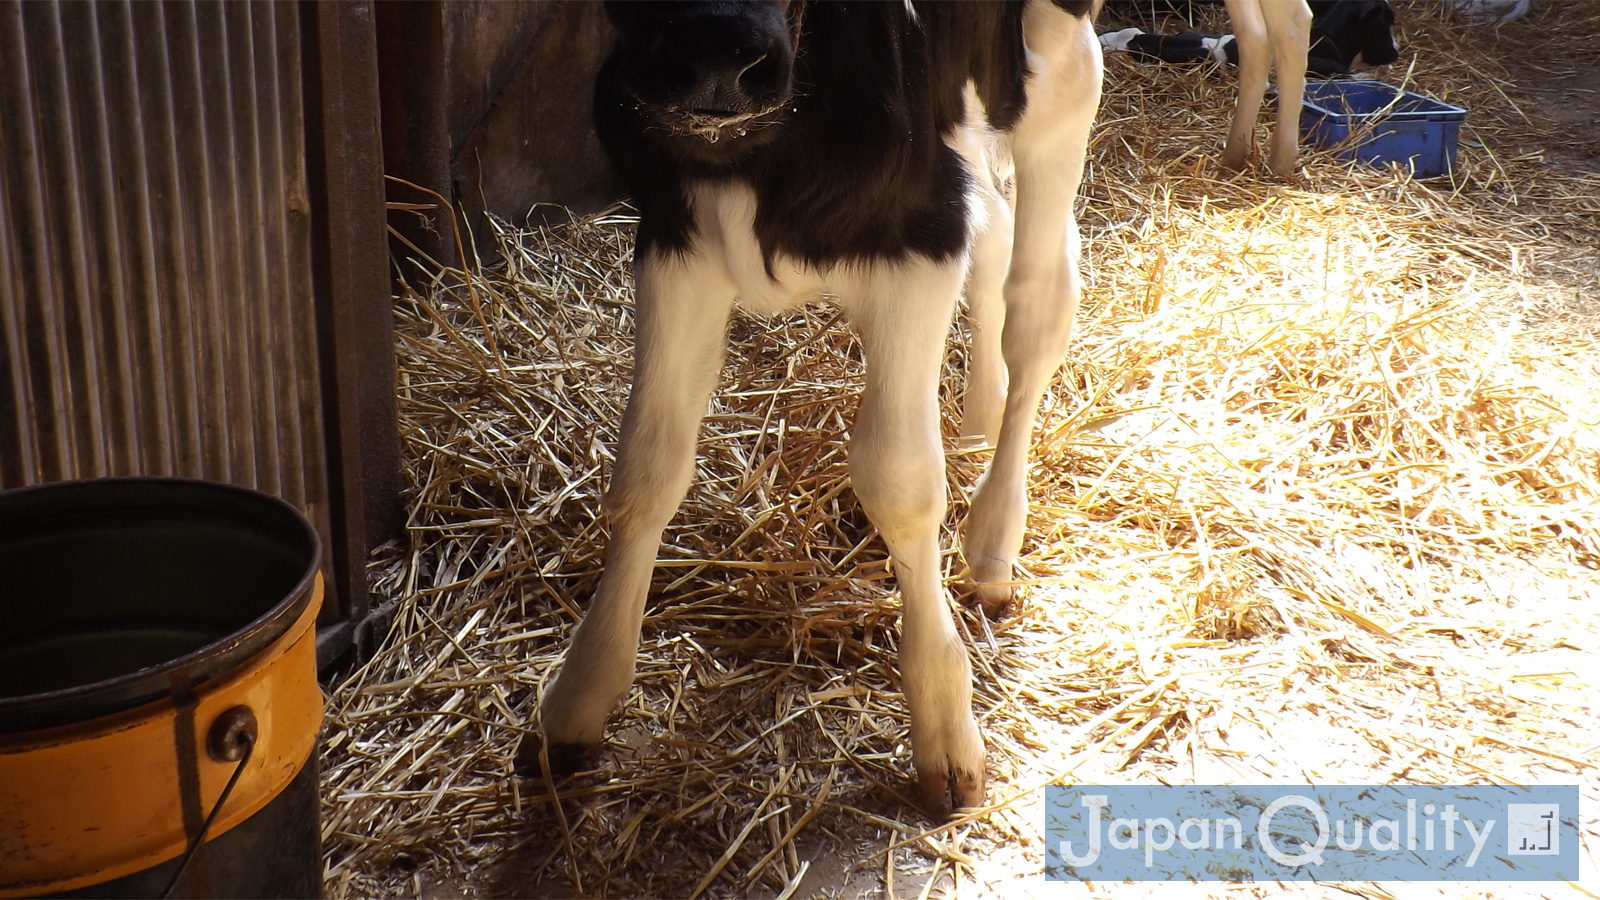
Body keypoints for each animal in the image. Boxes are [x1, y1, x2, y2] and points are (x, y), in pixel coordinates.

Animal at [518, 0, 1107, 813]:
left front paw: (942, 723)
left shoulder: (918, 233)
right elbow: (646, 467)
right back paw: (976, 428)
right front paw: (578, 700)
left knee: (1038, 297)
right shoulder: (676, 235)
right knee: (992, 240)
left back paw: (992, 540)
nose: (717, 56)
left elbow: (898, 480)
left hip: (1056, 66)